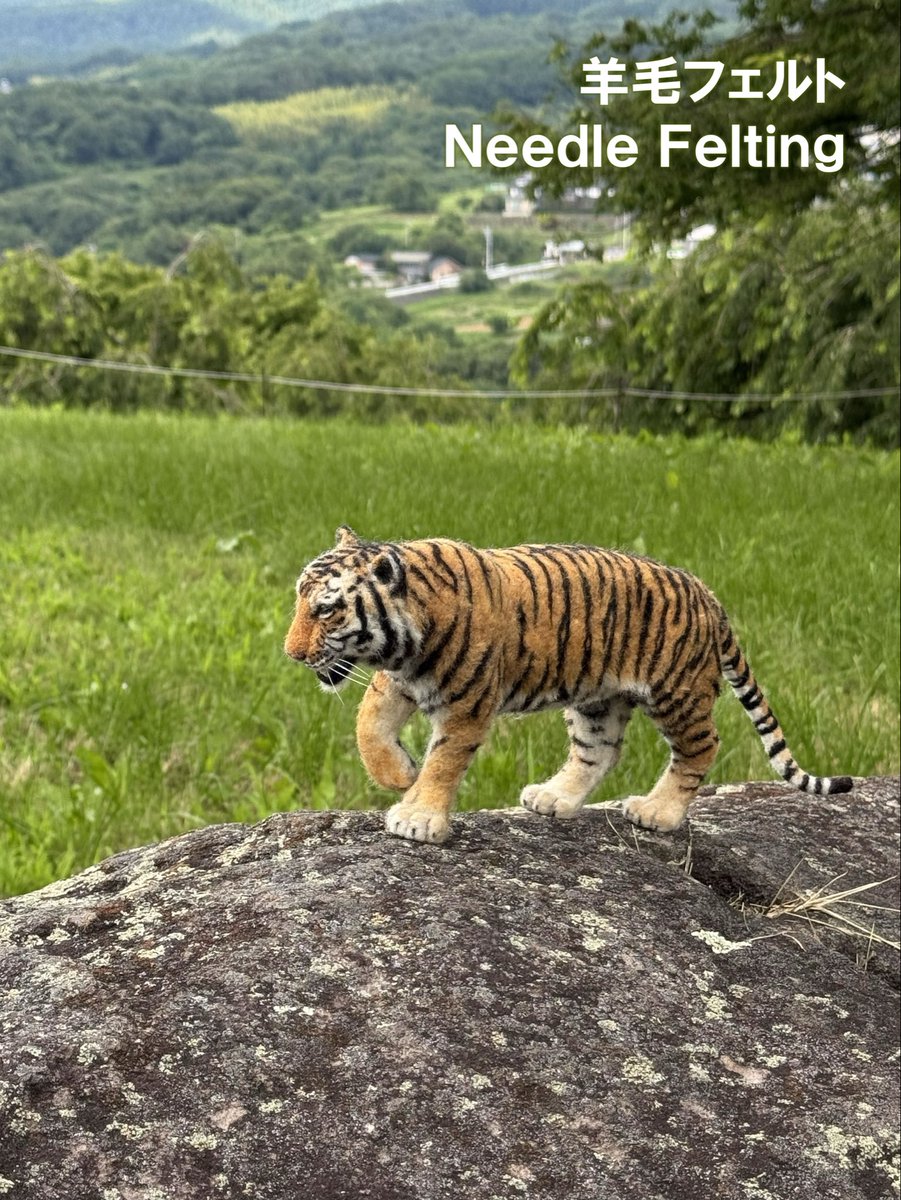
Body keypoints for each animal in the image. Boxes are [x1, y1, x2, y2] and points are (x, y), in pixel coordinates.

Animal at [284, 526, 852, 845]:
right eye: (298, 599)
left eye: (326, 610)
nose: (291, 653)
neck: (403, 646)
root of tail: (707, 593)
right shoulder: (396, 681)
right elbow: (368, 727)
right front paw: (400, 773)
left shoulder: (467, 705)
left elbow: (444, 760)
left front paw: (419, 816)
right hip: (598, 700)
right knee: (599, 752)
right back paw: (553, 798)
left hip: (677, 692)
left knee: (703, 745)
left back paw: (658, 812)